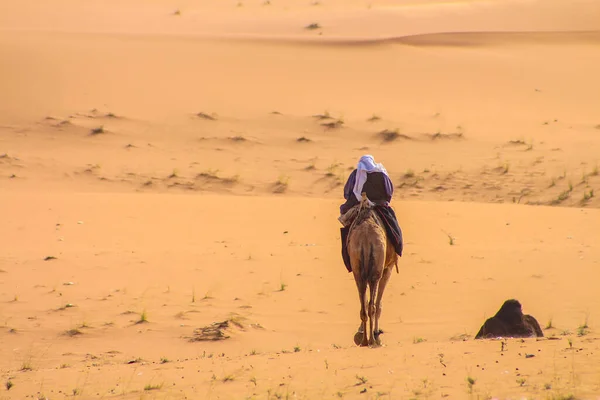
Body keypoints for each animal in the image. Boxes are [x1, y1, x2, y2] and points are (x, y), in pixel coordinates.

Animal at [346, 192, 398, 346]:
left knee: (364, 305)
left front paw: (361, 333)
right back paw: (373, 340)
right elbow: (378, 303)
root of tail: (366, 237)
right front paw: (376, 333)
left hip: (358, 270)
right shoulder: (388, 268)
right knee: (372, 306)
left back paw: (364, 340)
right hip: (377, 270)